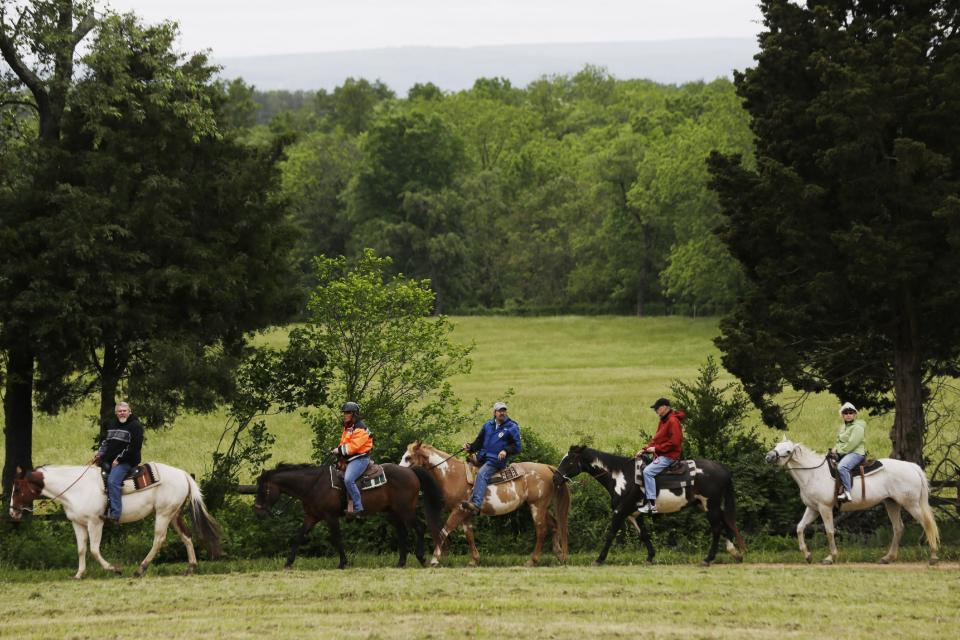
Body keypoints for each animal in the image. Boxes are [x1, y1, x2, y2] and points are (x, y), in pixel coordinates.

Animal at [7, 462, 221, 576]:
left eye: (17, 489)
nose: (12, 513)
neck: (75, 489)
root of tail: (184, 475)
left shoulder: (95, 522)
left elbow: (94, 550)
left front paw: (114, 569)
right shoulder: (78, 523)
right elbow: (81, 549)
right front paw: (79, 574)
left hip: (163, 513)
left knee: (159, 539)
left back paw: (140, 569)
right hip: (174, 514)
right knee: (186, 536)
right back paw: (191, 567)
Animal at [256, 460, 448, 568]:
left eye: (263, 490)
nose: (259, 513)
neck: (314, 484)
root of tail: (410, 471)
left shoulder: (331, 516)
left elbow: (337, 538)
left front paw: (343, 562)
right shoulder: (312, 517)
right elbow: (299, 536)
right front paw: (288, 562)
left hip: (406, 510)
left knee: (420, 528)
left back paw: (421, 558)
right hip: (393, 513)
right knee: (402, 533)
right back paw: (400, 563)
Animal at [400, 442, 568, 568]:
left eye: (408, 457)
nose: (399, 470)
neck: (453, 475)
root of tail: (548, 468)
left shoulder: (457, 510)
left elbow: (444, 531)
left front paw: (434, 559)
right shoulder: (465, 514)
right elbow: (469, 535)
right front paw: (474, 560)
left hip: (537, 506)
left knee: (541, 531)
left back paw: (532, 561)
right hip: (542, 507)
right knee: (554, 525)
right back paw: (560, 555)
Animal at [552, 444, 748, 564]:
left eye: (569, 460)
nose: (555, 479)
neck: (621, 476)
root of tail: (722, 468)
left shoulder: (620, 512)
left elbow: (611, 534)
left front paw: (599, 559)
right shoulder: (635, 514)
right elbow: (644, 535)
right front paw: (650, 557)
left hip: (711, 506)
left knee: (717, 528)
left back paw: (708, 559)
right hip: (709, 506)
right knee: (725, 524)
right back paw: (735, 553)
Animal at [768, 440, 940, 564]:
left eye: (788, 451)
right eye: (777, 445)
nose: (769, 457)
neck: (813, 474)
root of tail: (912, 467)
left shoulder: (825, 508)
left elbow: (829, 531)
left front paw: (831, 557)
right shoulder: (813, 509)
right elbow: (799, 528)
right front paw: (808, 556)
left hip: (911, 504)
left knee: (927, 525)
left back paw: (933, 557)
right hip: (892, 503)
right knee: (898, 528)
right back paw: (887, 558)